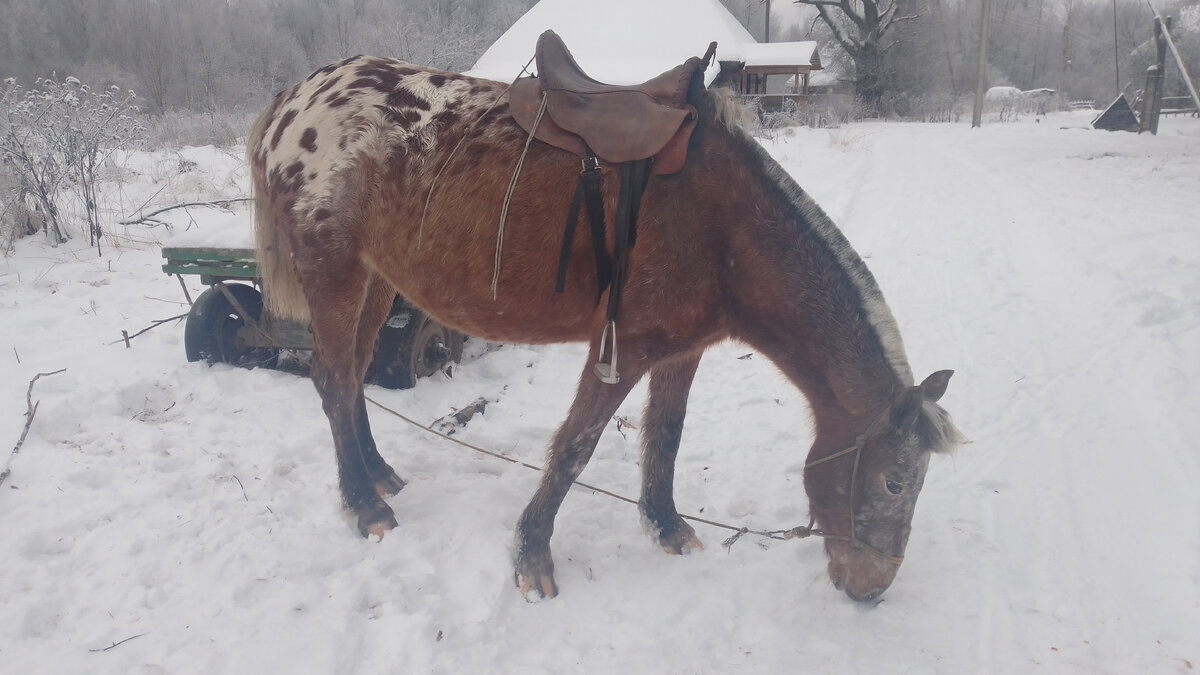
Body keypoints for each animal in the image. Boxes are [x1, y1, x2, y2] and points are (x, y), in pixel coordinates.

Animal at [248, 51, 960, 598]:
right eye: (895, 481)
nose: (872, 589)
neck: (723, 228)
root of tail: (294, 100)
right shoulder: (625, 348)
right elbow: (575, 448)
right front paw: (532, 556)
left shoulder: (682, 351)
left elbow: (665, 437)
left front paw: (666, 526)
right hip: (336, 276)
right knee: (335, 381)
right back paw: (366, 505)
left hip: (376, 282)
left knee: (352, 379)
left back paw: (378, 474)